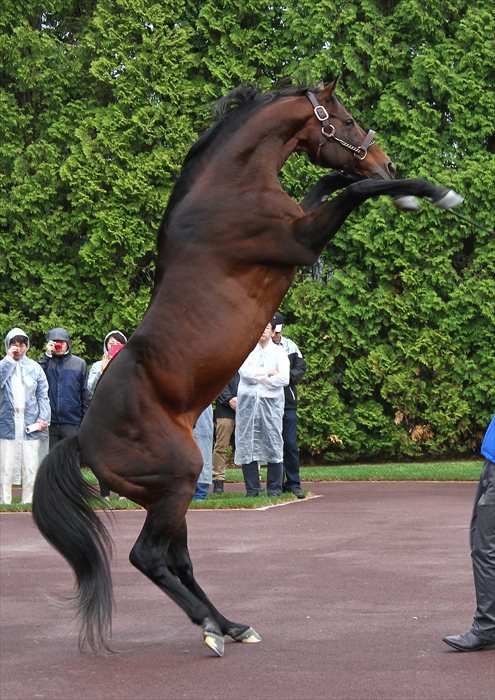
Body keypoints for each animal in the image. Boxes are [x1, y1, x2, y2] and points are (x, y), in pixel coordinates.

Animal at [32, 80, 462, 657]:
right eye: (346, 120)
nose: (383, 159)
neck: (227, 190)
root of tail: (83, 439)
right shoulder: (299, 239)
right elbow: (353, 194)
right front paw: (427, 191)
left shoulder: (301, 219)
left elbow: (328, 184)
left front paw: (390, 185)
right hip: (176, 480)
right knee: (149, 557)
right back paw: (214, 629)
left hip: (163, 496)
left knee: (177, 560)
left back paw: (231, 624)